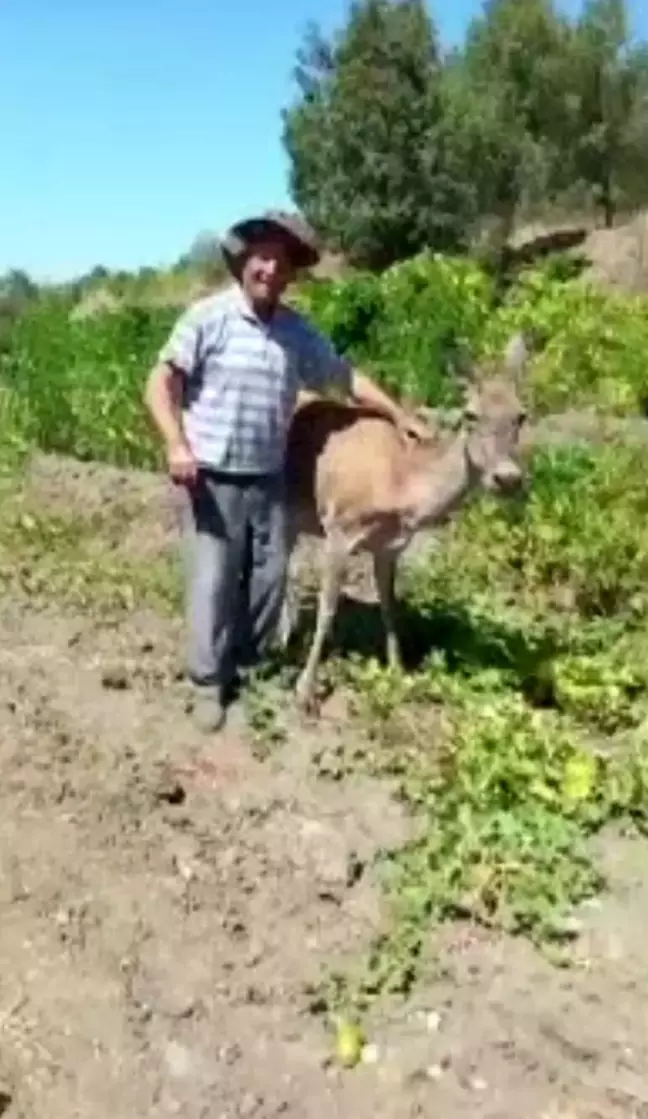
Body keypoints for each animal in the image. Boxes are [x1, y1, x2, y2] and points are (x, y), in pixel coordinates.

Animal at [280, 333, 530, 716]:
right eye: (470, 415)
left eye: (521, 415)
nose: (507, 478)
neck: (401, 483)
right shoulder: (340, 527)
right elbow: (327, 608)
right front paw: (305, 691)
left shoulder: (390, 545)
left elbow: (389, 605)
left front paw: (398, 672)